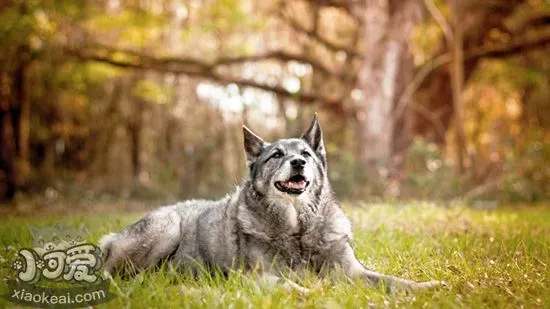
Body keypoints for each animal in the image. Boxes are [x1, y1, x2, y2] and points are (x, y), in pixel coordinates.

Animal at [99, 115, 444, 292]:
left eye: (305, 154)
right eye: (276, 154)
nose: (297, 163)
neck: (298, 230)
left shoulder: (353, 272)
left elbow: (391, 280)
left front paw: (427, 286)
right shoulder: (257, 277)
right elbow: (293, 286)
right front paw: (315, 291)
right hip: (167, 228)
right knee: (115, 271)